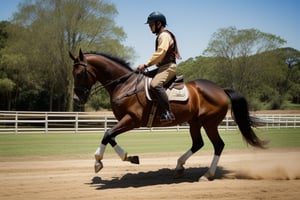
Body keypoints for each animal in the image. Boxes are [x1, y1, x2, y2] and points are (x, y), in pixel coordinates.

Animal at [69, 49, 266, 180]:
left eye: (79, 74)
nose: (76, 99)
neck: (125, 84)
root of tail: (221, 89)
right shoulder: (125, 121)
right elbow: (109, 136)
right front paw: (127, 158)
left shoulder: (131, 120)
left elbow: (107, 134)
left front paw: (101, 161)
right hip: (195, 122)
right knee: (198, 143)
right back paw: (179, 166)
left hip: (209, 123)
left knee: (218, 145)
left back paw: (208, 174)